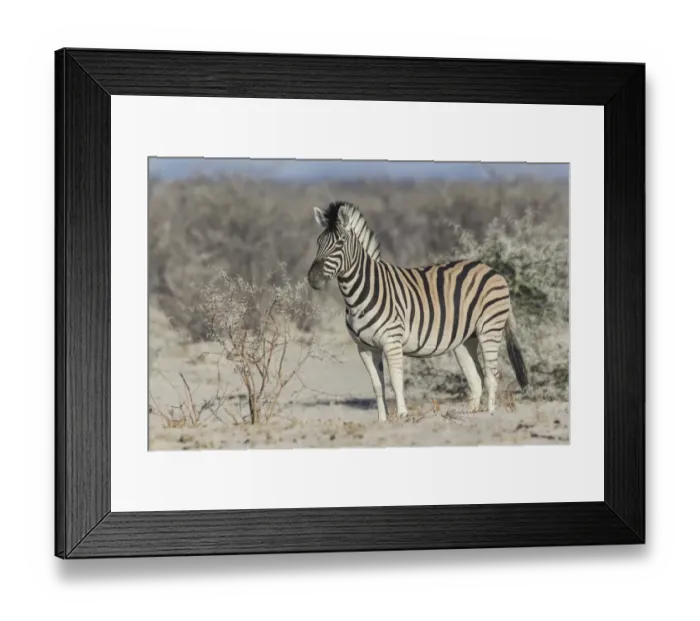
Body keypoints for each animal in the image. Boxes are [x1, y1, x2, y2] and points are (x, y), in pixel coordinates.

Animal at [306, 201, 528, 421]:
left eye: (340, 243)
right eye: (318, 242)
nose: (313, 279)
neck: (359, 296)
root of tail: (491, 269)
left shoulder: (392, 341)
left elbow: (396, 382)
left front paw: (403, 416)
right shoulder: (365, 348)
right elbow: (378, 386)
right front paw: (383, 420)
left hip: (489, 328)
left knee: (492, 375)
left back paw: (490, 414)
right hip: (466, 340)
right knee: (476, 378)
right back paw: (471, 414)